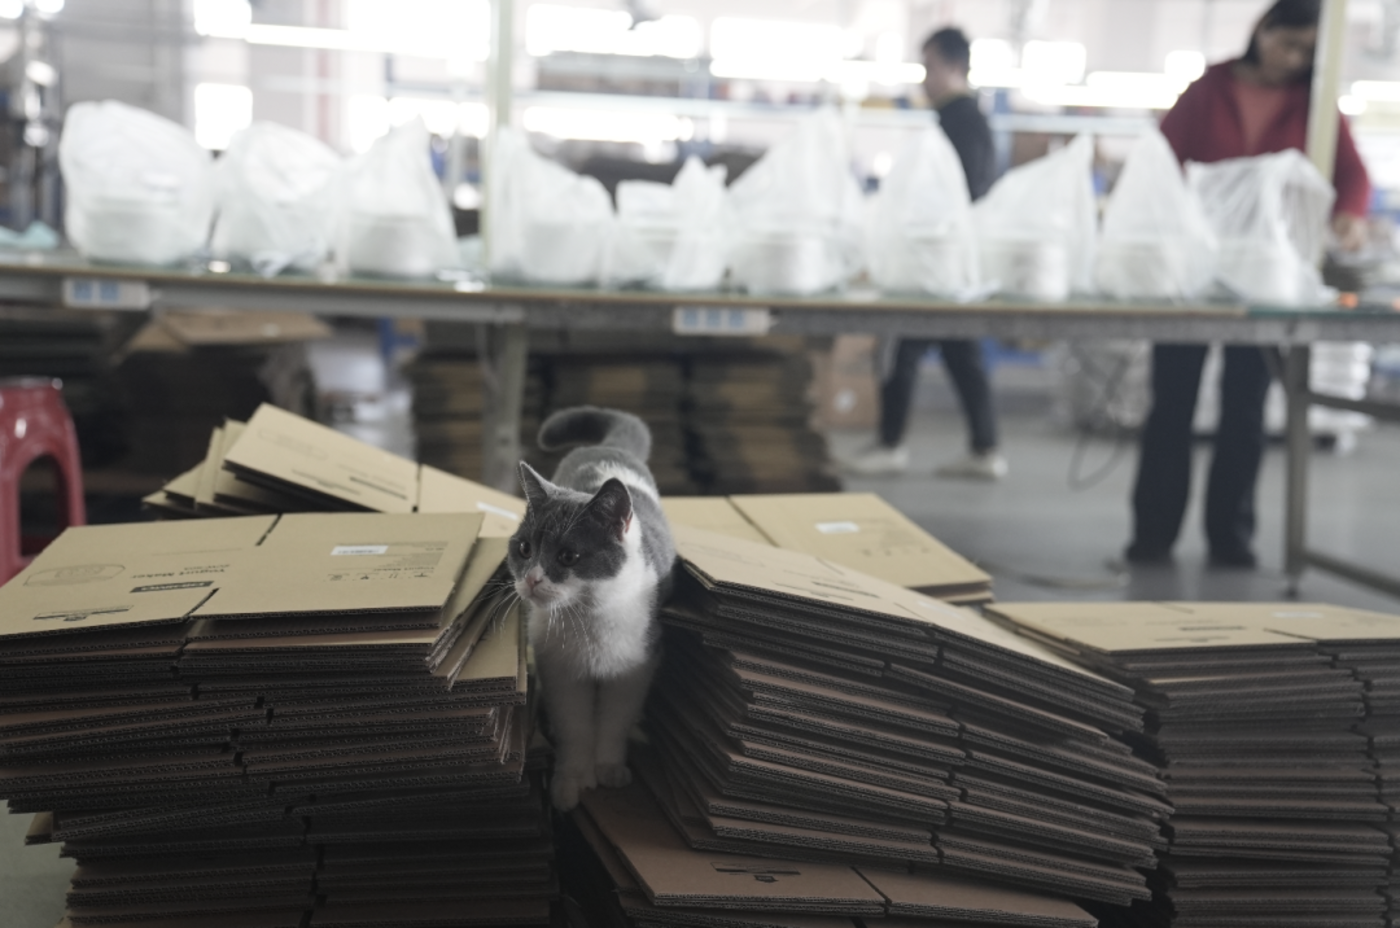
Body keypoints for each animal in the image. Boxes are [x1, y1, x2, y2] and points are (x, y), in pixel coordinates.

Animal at [507, 406, 677, 811]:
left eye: (568, 556)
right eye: (524, 549)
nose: (532, 579)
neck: (589, 618)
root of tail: (610, 450)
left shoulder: (636, 666)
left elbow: (615, 721)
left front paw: (609, 769)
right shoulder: (559, 668)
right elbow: (575, 728)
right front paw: (571, 782)